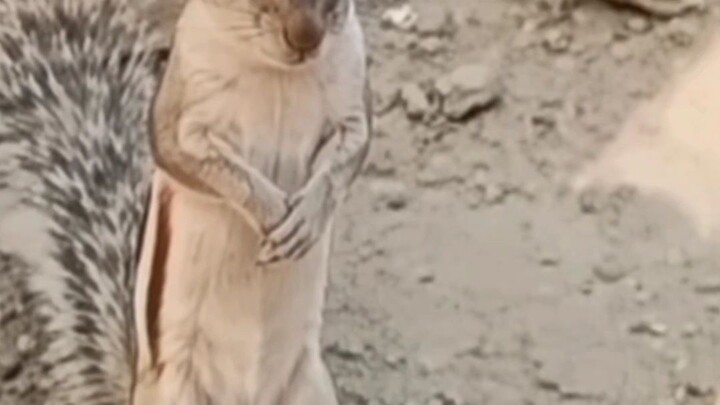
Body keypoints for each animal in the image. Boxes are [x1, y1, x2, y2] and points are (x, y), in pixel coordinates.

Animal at [132, 0, 372, 403]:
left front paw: (305, 222)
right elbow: (227, 173)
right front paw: (273, 211)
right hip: (176, 391)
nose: (307, 38)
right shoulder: (182, 119)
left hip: (312, 387)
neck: (276, 71)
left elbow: (342, 165)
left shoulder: (352, 106)